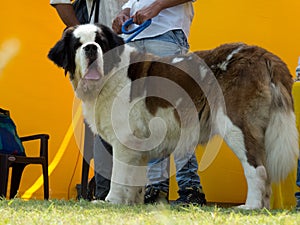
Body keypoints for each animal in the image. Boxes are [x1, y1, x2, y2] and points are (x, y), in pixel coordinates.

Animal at [48, 23, 298, 208]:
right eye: (78, 44)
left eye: (100, 42)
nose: (90, 48)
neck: (111, 74)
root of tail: (262, 54)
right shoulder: (138, 145)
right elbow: (136, 179)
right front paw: (133, 203)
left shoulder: (124, 140)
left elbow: (118, 174)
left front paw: (111, 201)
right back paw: (262, 206)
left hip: (236, 125)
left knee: (257, 169)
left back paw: (250, 206)